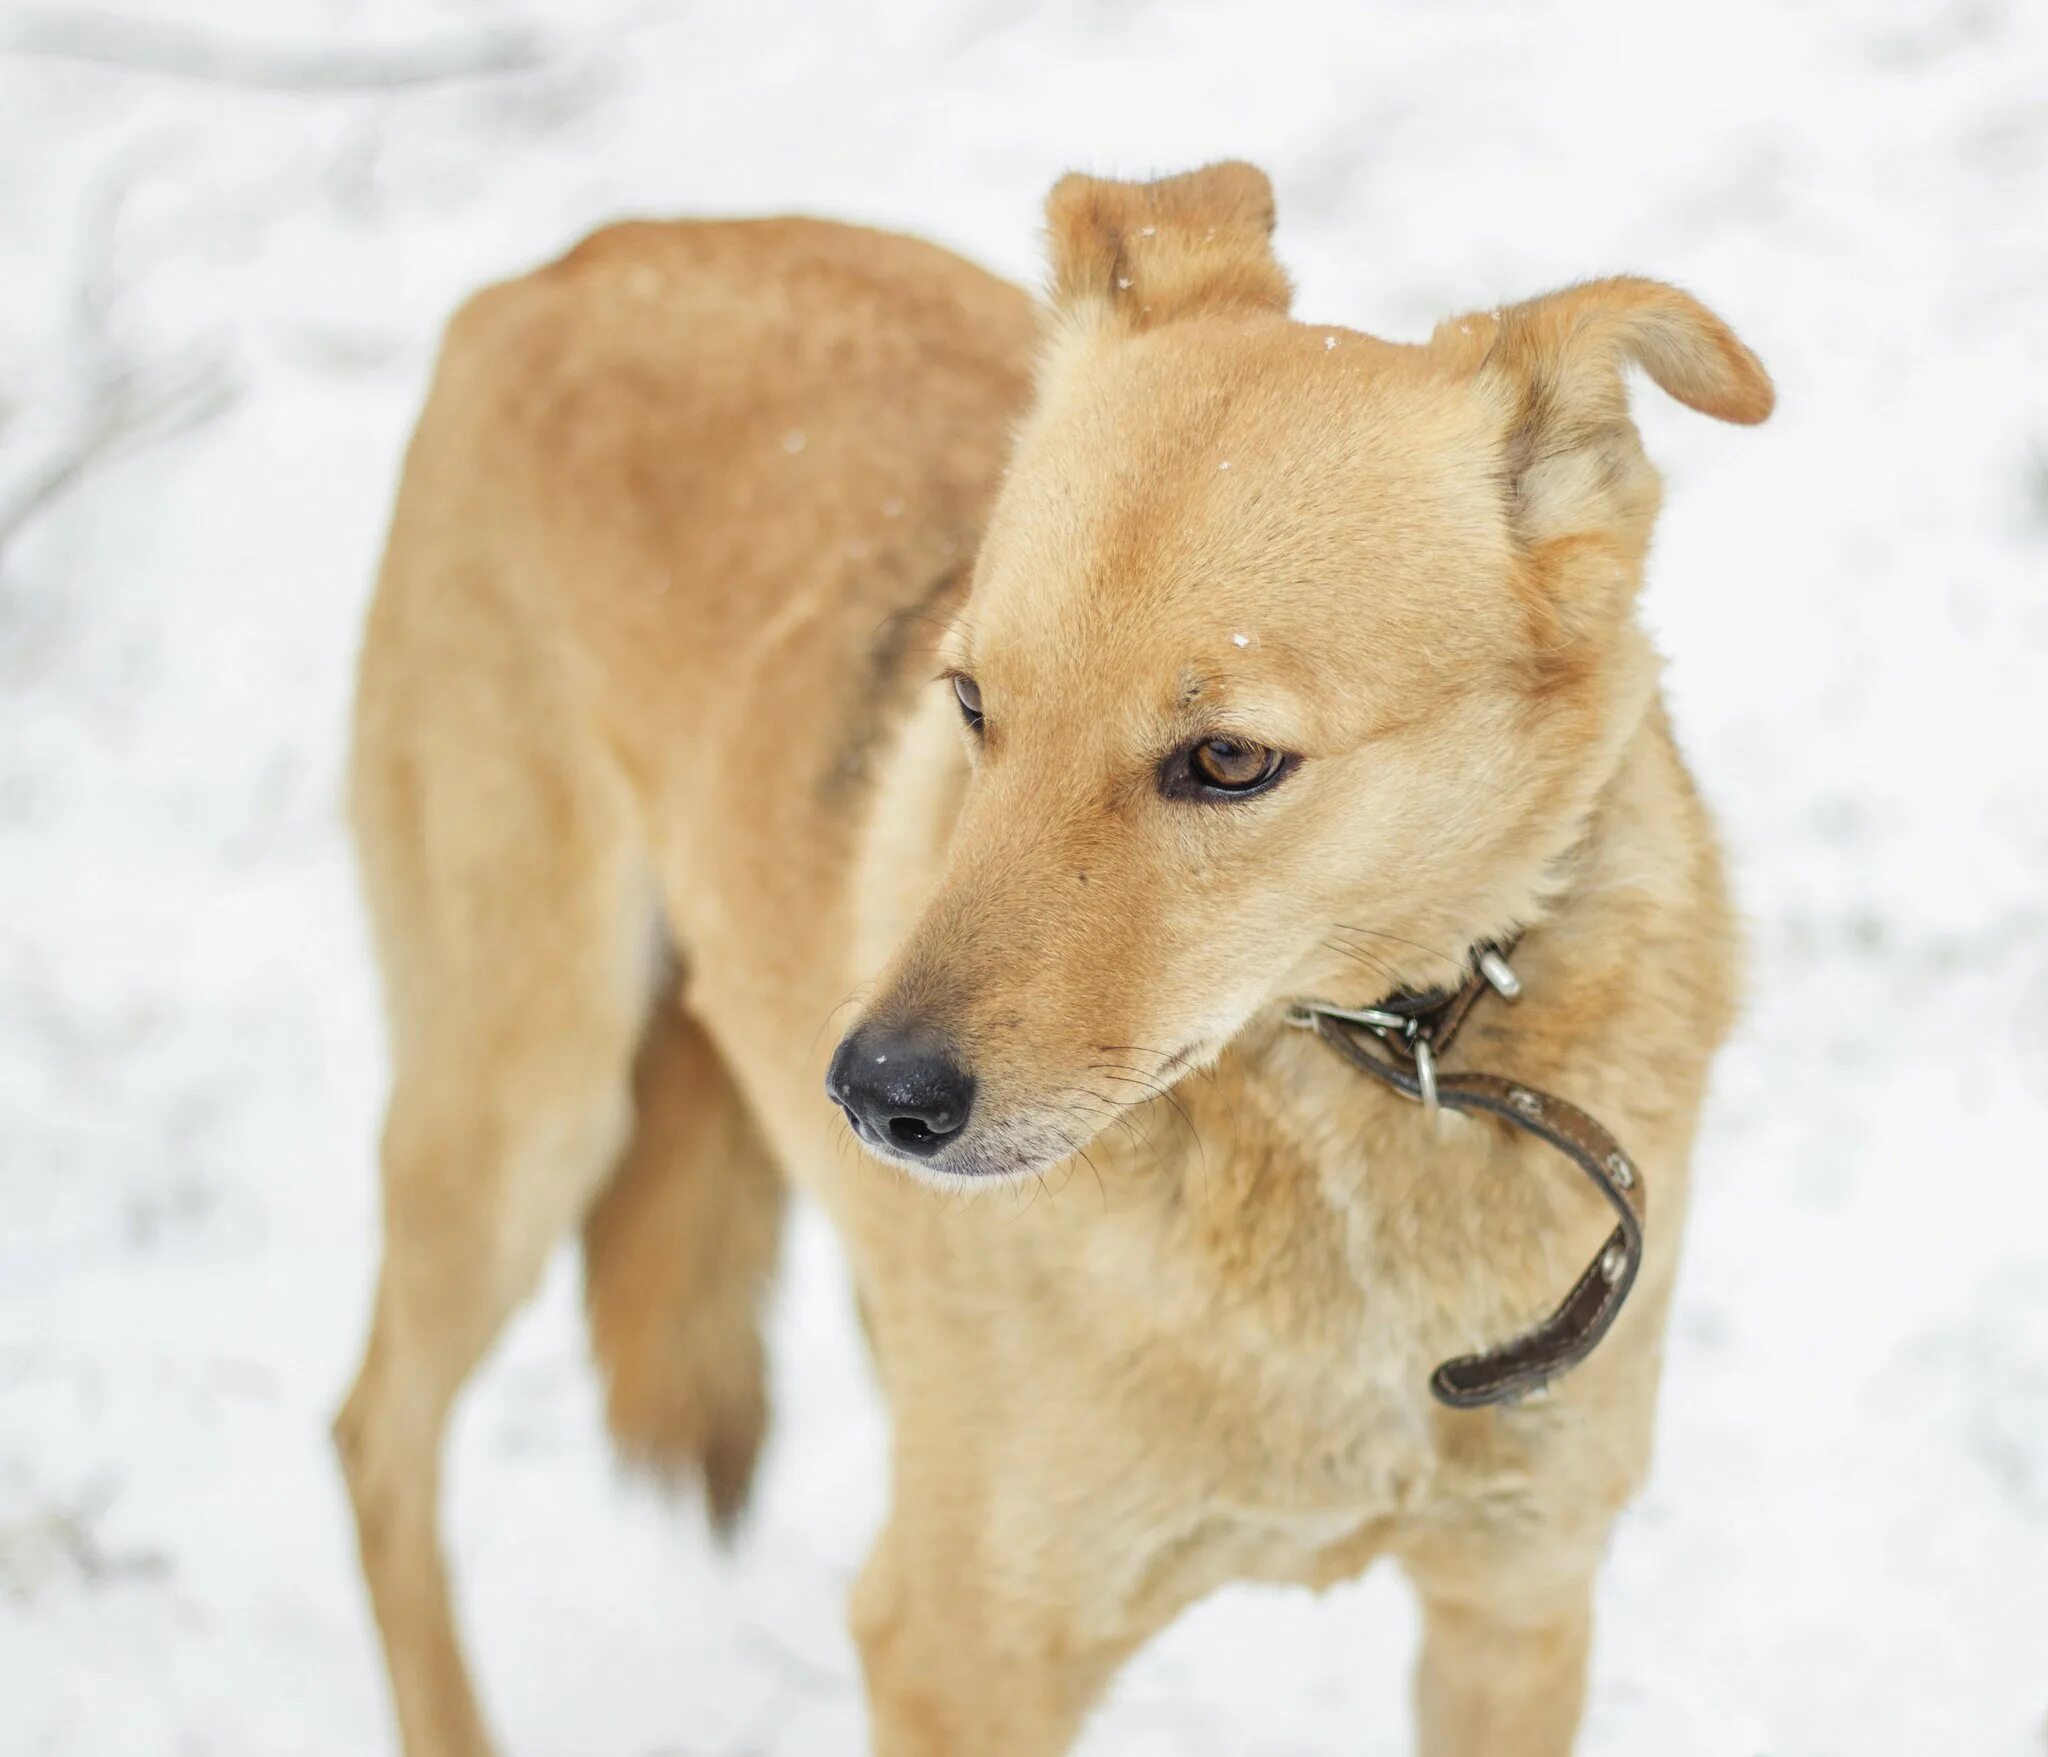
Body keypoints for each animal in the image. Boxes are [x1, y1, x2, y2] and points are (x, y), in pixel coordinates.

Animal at [339, 163, 1777, 1752]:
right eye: (972, 699)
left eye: (1228, 759)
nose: (874, 1094)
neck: (1361, 1077)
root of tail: (560, 267)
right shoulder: (956, 1649)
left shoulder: (1515, 1604)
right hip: (523, 1102)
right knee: (375, 1440)